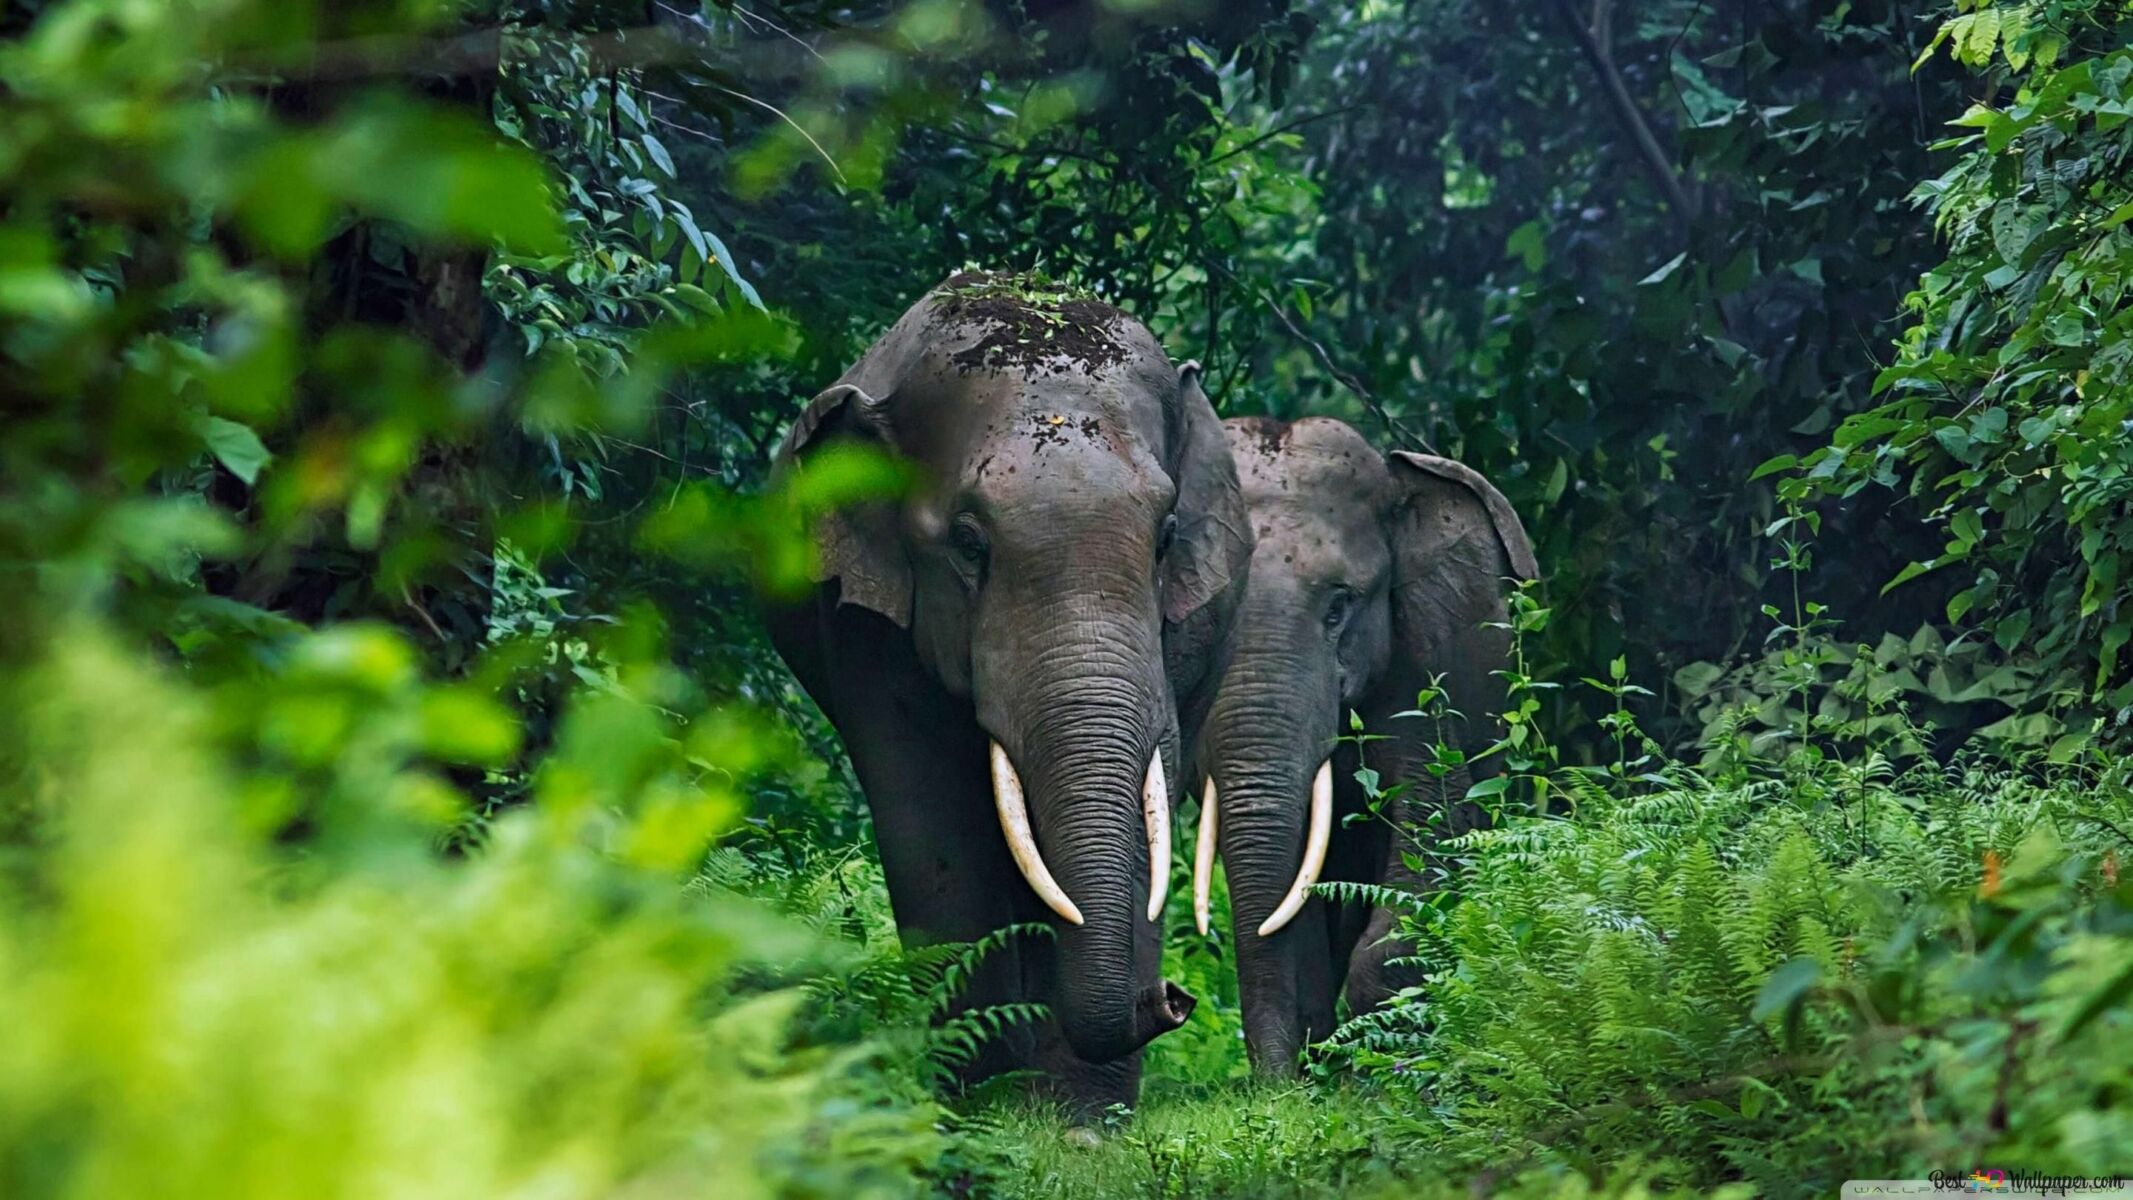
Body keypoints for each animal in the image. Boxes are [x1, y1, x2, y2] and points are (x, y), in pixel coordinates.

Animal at [759, 274, 1245, 1116]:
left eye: (1165, 535)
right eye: (967, 544)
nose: (1173, 999)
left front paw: (1081, 1121)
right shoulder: (862, 622)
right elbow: (932, 816)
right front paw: (978, 1102)